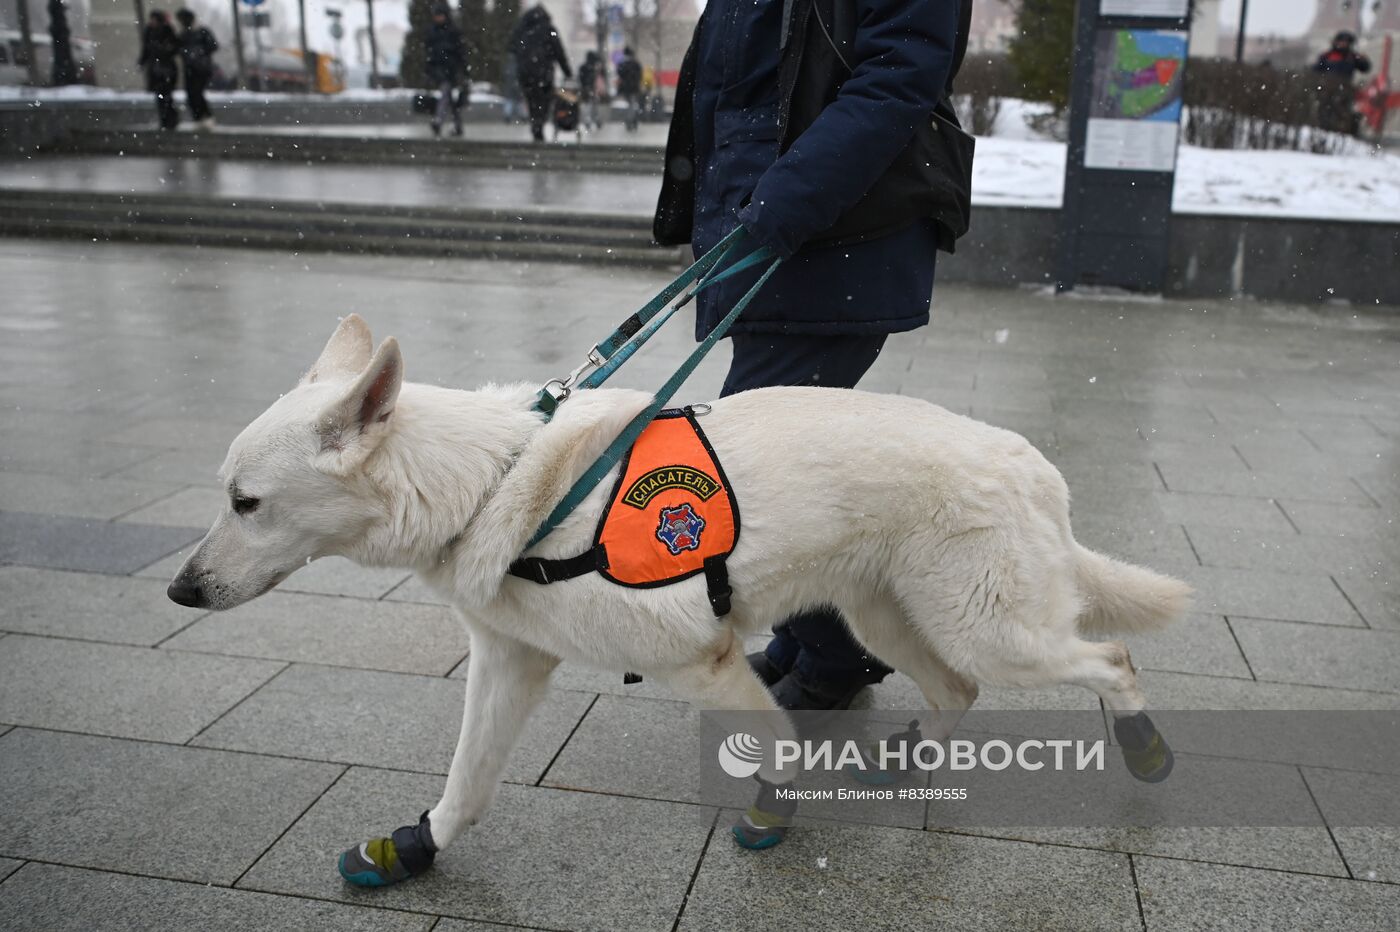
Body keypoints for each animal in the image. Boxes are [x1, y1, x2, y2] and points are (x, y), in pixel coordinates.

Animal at [166, 316, 1192, 884]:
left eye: (244, 503)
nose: (178, 588)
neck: (495, 484)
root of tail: (1033, 462)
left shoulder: (705, 662)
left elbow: (779, 745)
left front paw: (773, 816)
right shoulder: (507, 666)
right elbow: (467, 785)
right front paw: (416, 849)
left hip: (989, 628)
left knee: (1108, 657)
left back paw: (1145, 749)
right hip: (892, 620)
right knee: (958, 693)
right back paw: (907, 763)